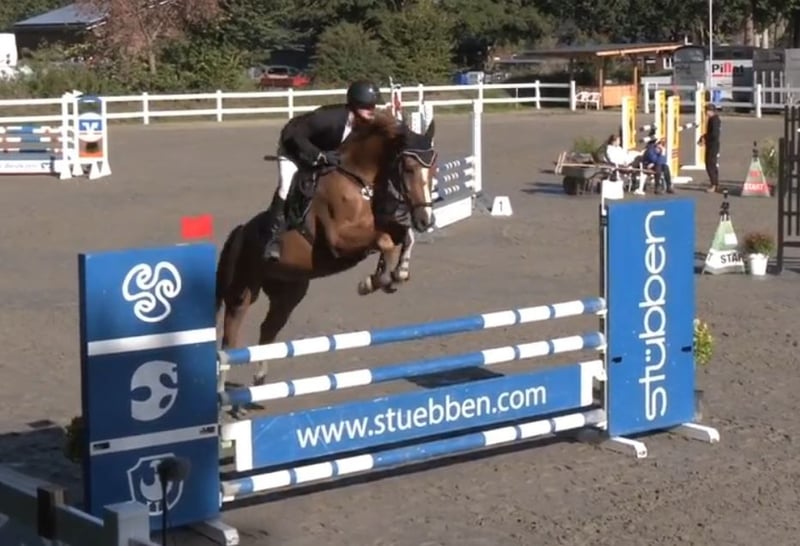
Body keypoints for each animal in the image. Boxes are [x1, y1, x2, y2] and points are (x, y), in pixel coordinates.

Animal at [215, 108, 437, 386]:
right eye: (408, 168)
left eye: (434, 166)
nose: (426, 220)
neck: (358, 179)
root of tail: (240, 231)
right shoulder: (339, 241)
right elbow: (384, 242)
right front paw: (375, 281)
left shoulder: (382, 225)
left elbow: (403, 237)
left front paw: (397, 273)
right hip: (241, 292)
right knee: (229, 339)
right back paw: (222, 388)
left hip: (289, 292)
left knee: (268, 328)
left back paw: (260, 377)